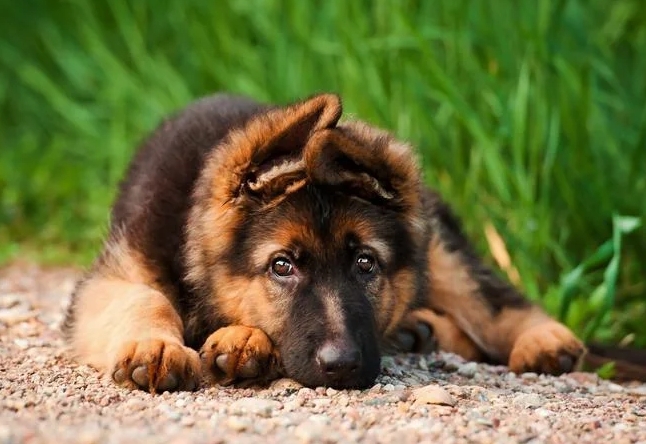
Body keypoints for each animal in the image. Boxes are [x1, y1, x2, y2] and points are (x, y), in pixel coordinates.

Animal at [63, 93, 584, 392]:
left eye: (366, 263)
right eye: (282, 266)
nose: (343, 366)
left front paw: (239, 338)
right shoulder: (114, 273)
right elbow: (145, 298)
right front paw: (158, 346)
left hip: (443, 254)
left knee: (490, 301)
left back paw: (542, 339)